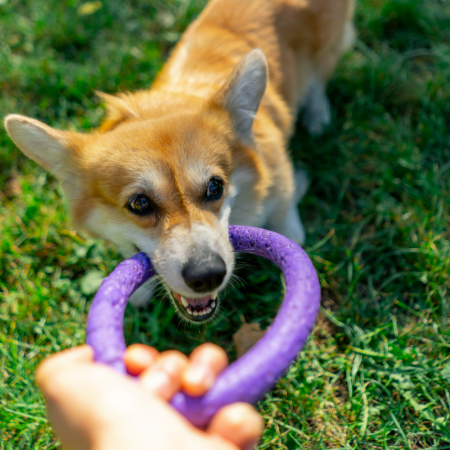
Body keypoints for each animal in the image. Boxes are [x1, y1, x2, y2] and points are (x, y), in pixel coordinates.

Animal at [5, 0, 354, 324]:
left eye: (215, 187)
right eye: (140, 203)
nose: (208, 275)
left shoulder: (280, 194)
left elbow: (290, 226)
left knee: (318, 78)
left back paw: (317, 115)